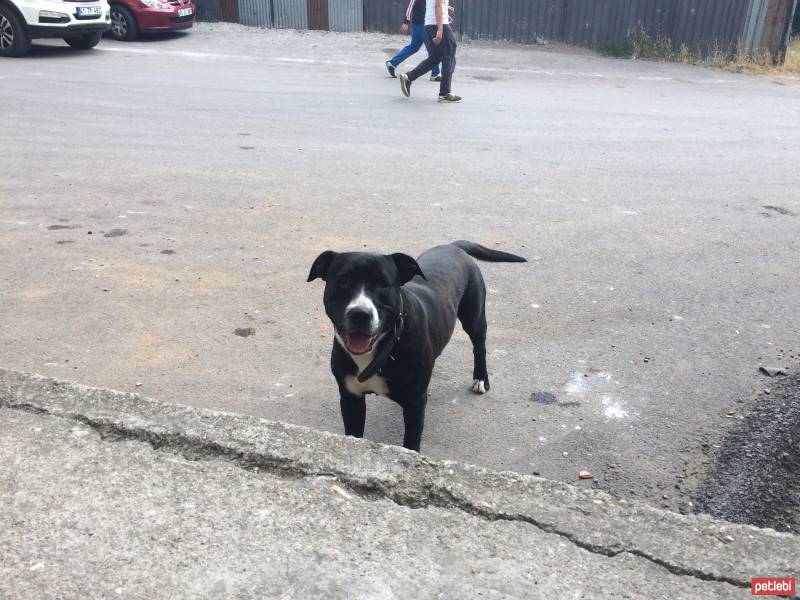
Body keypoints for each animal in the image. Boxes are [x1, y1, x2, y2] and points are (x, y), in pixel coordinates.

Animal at [306, 239, 524, 450]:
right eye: (343, 281)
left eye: (383, 284)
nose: (360, 314)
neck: (384, 346)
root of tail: (453, 245)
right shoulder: (351, 399)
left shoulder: (415, 404)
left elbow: (411, 441)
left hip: (474, 317)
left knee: (479, 347)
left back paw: (480, 378)